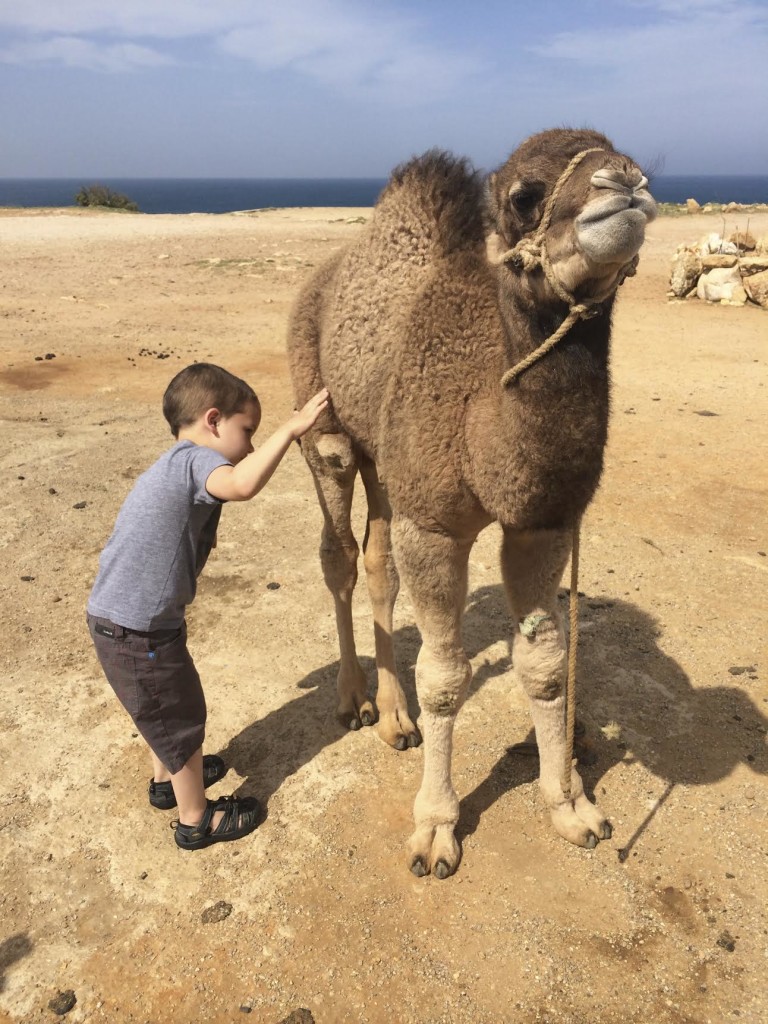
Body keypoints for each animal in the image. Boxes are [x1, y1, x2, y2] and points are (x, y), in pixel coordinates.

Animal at [286, 128, 659, 876]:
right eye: (524, 196)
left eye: (632, 158)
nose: (626, 182)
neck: (482, 412)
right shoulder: (436, 526)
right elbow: (444, 675)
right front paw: (435, 828)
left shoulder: (540, 523)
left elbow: (544, 666)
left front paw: (570, 807)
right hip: (321, 421)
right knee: (339, 550)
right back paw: (353, 700)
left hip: (389, 461)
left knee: (378, 561)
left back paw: (395, 718)